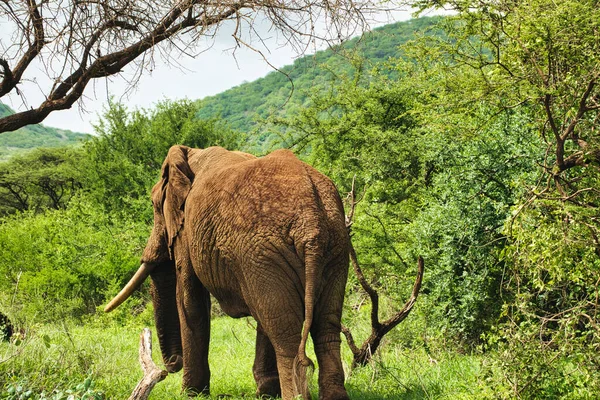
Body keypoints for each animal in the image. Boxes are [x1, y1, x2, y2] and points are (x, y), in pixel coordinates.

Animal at [105, 145, 352, 400]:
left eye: (155, 206)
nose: (170, 365)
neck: (190, 154)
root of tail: (311, 224)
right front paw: (265, 393)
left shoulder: (187, 231)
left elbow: (189, 301)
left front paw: (190, 393)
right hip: (331, 246)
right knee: (326, 326)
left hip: (266, 252)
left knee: (287, 335)